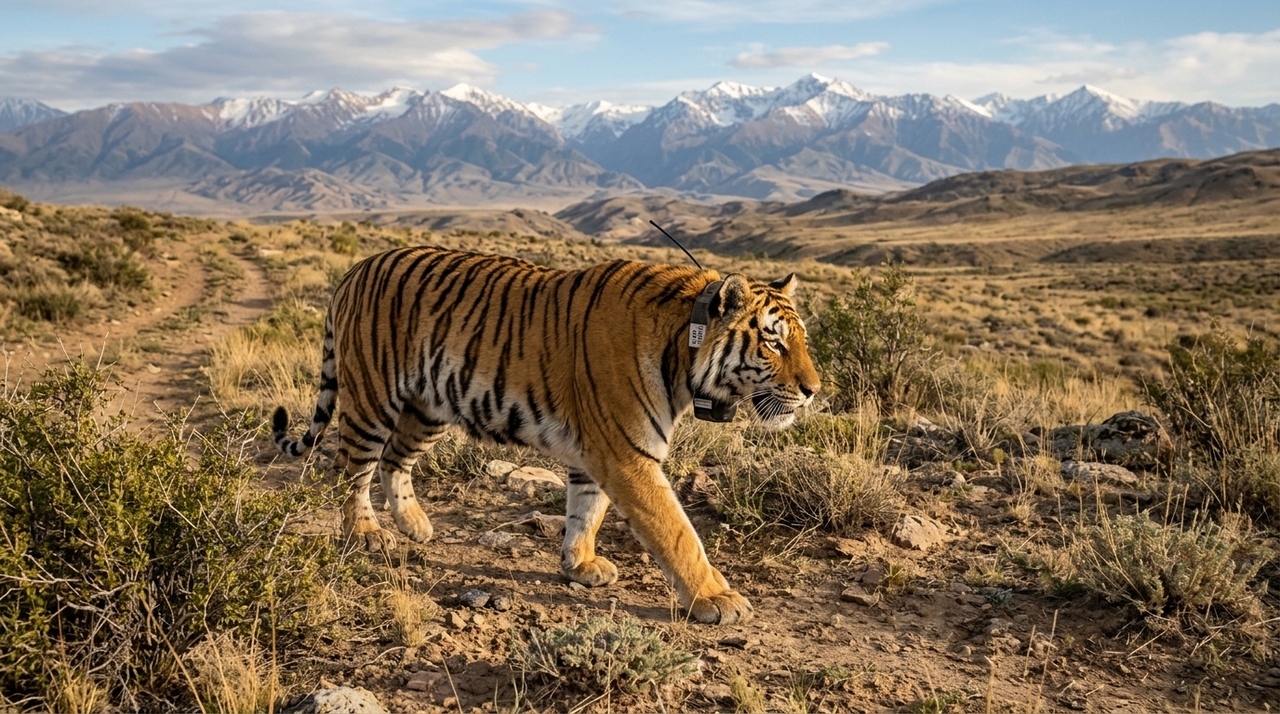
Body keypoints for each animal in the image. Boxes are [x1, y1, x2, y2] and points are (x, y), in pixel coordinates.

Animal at [272, 246, 820, 625]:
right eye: (773, 342)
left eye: (803, 341)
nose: (813, 390)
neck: (685, 350)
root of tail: (356, 268)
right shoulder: (627, 454)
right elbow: (677, 532)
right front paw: (716, 598)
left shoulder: (600, 452)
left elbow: (586, 511)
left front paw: (580, 565)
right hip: (372, 398)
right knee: (351, 468)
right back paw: (367, 534)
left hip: (429, 408)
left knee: (394, 462)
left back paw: (415, 525)